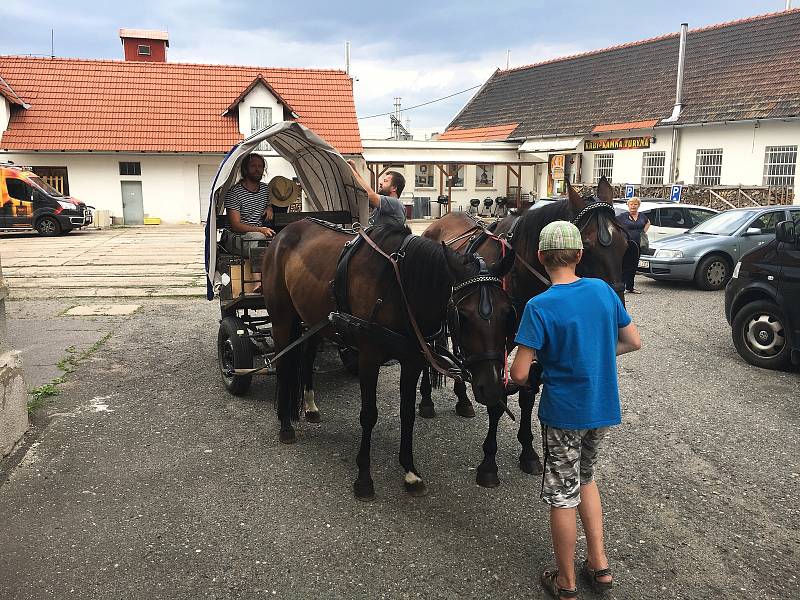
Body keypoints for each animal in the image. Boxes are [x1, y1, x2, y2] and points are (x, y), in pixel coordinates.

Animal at [260, 220, 516, 502]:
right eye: (464, 317)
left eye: (508, 314)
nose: (492, 387)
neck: (398, 286)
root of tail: (285, 231)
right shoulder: (368, 359)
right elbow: (368, 415)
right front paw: (364, 478)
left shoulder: (412, 361)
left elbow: (407, 414)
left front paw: (410, 472)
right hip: (282, 320)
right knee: (284, 367)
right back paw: (285, 425)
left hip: (315, 319)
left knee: (306, 358)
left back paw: (310, 406)